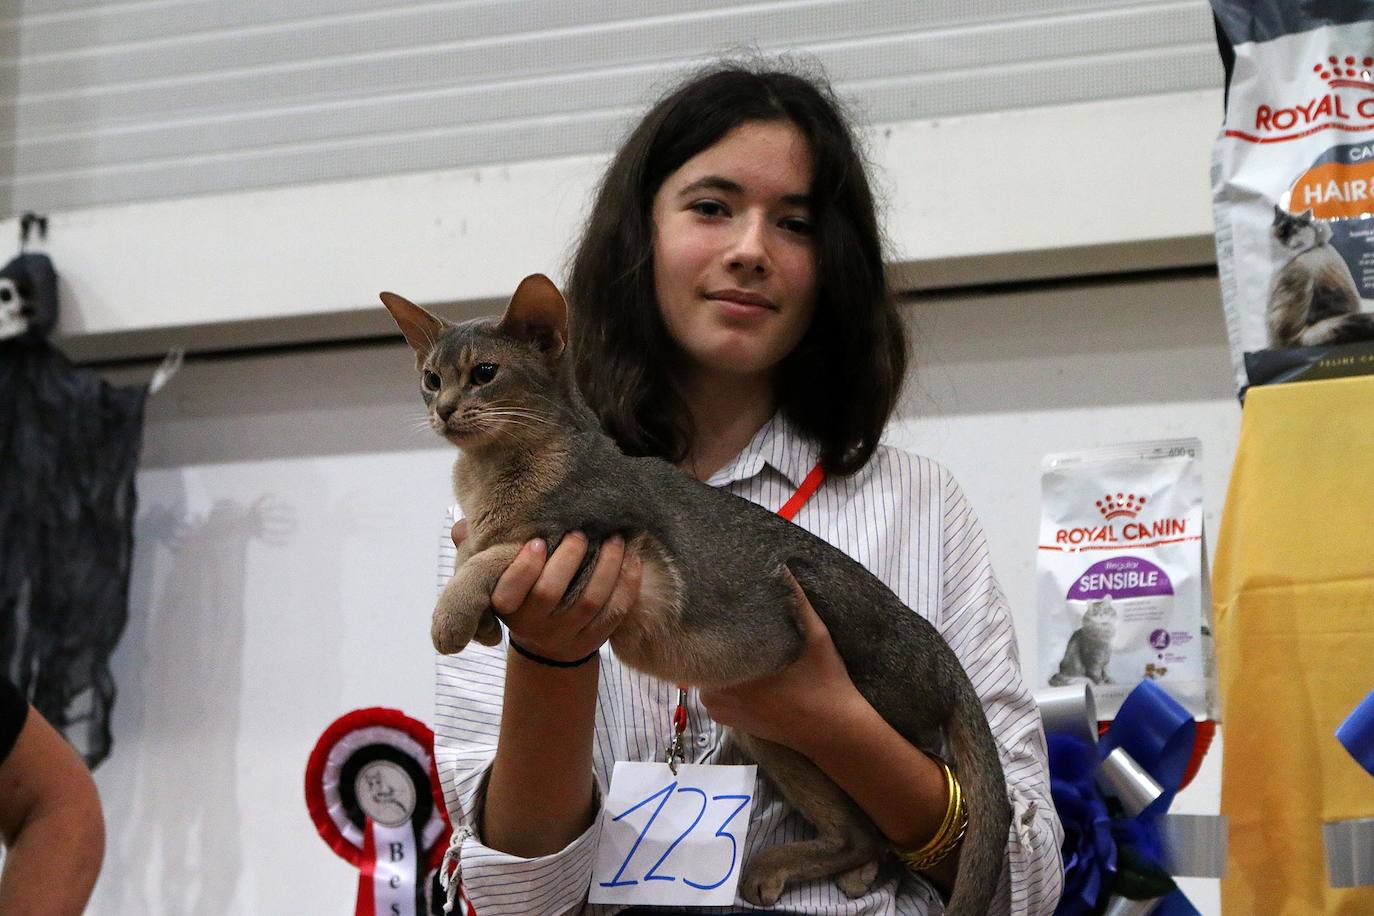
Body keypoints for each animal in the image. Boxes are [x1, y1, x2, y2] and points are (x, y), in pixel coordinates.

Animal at [381, 276, 1016, 911]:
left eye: (484, 372)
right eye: (431, 378)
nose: (442, 409)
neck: (486, 474)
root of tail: (939, 654)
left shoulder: (595, 537)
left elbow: (498, 554)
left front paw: (450, 617)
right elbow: (476, 549)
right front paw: (484, 619)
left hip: (823, 659)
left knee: (908, 780)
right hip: (772, 735)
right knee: (859, 833)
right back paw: (822, 871)